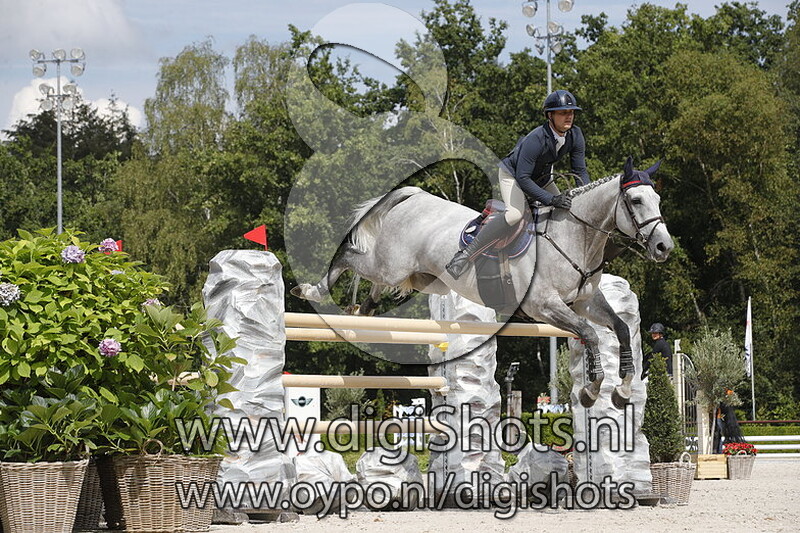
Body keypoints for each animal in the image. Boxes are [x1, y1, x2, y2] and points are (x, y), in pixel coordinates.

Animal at [291, 157, 674, 408]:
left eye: (657, 199)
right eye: (636, 200)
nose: (663, 247)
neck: (574, 236)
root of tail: (415, 196)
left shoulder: (585, 302)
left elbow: (620, 328)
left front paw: (622, 389)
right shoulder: (544, 307)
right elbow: (591, 334)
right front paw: (591, 390)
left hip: (421, 278)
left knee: (377, 283)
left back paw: (364, 310)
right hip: (390, 265)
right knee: (349, 255)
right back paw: (311, 290)